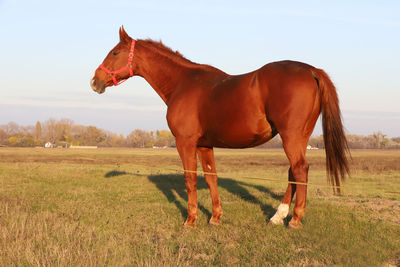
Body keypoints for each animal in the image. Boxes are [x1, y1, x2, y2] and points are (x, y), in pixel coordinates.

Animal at [90, 27, 346, 229]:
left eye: (115, 52)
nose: (94, 81)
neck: (183, 83)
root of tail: (311, 70)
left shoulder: (185, 142)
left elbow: (190, 179)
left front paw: (190, 220)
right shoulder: (205, 145)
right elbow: (211, 177)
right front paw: (215, 217)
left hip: (290, 135)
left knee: (300, 169)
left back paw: (294, 219)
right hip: (299, 136)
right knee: (294, 171)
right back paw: (277, 216)